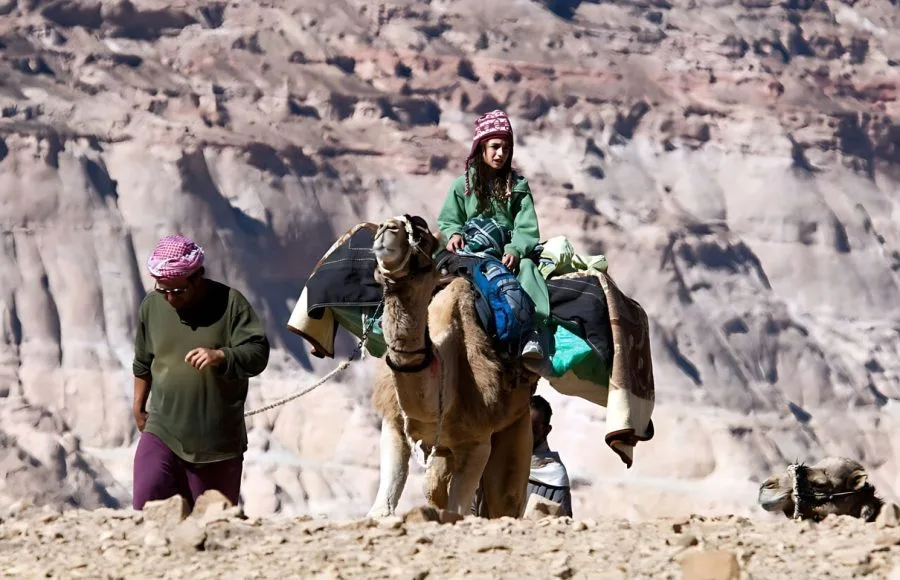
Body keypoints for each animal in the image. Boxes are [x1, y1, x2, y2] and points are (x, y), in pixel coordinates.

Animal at [365, 215, 538, 519]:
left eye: (421, 237)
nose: (388, 227)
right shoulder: (394, 424)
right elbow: (382, 507)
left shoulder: (479, 442)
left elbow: (458, 511)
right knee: (435, 487)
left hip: (517, 423)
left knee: (505, 498)